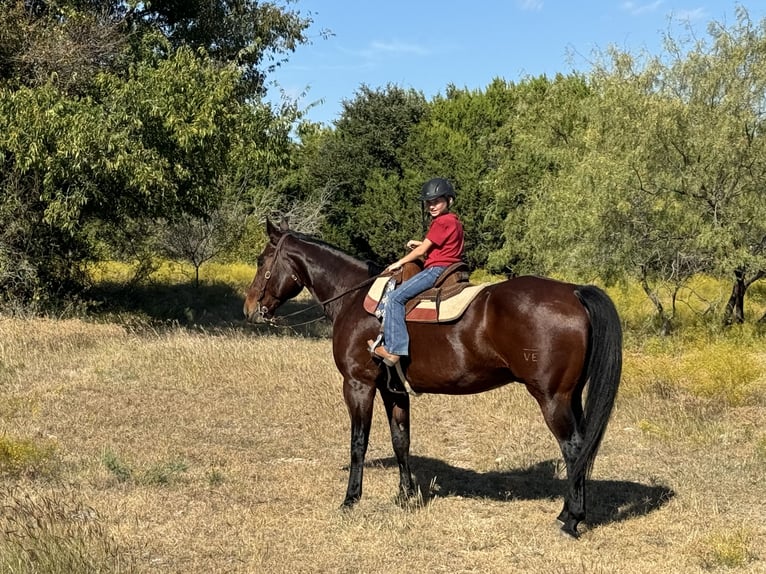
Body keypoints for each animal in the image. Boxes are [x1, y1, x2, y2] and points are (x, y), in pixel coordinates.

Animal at [246, 220, 624, 540]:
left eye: (262, 260)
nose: (250, 308)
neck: (355, 299)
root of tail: (574, 292)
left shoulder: (358, 385)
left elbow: (358, 443)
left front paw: (351, 499)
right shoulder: (393, 390)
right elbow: (401, 440)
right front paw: (405, 496)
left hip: (552, 398)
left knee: (573, 448)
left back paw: (570, 519)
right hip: (570, 396)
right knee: (582, 447)